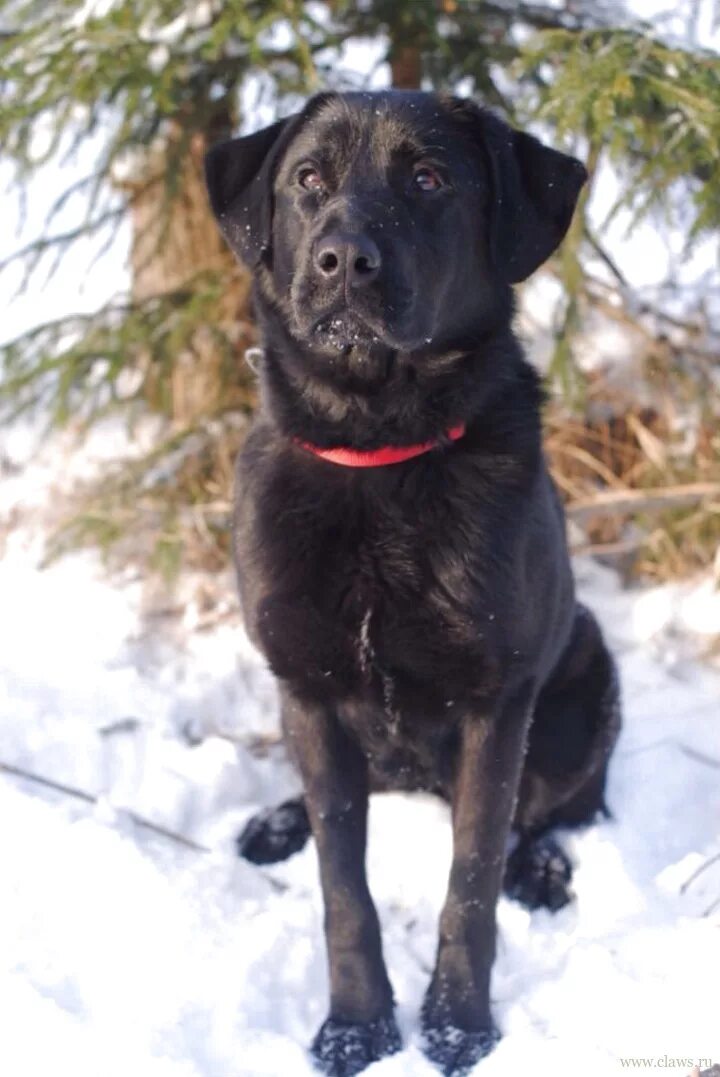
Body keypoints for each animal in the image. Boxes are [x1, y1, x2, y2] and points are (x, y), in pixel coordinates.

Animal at [204, 92, 619, 1077]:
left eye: (429, 178)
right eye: (307, 178)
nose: (344, 259)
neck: (378, 450)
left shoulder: (496, 703)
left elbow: (470, 882)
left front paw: (458, 1027)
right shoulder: (309, 689)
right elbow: (341, 887)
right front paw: (358, 1024)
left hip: (586, 675)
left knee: (563, 809)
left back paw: (546, 868)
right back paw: (277, 819)